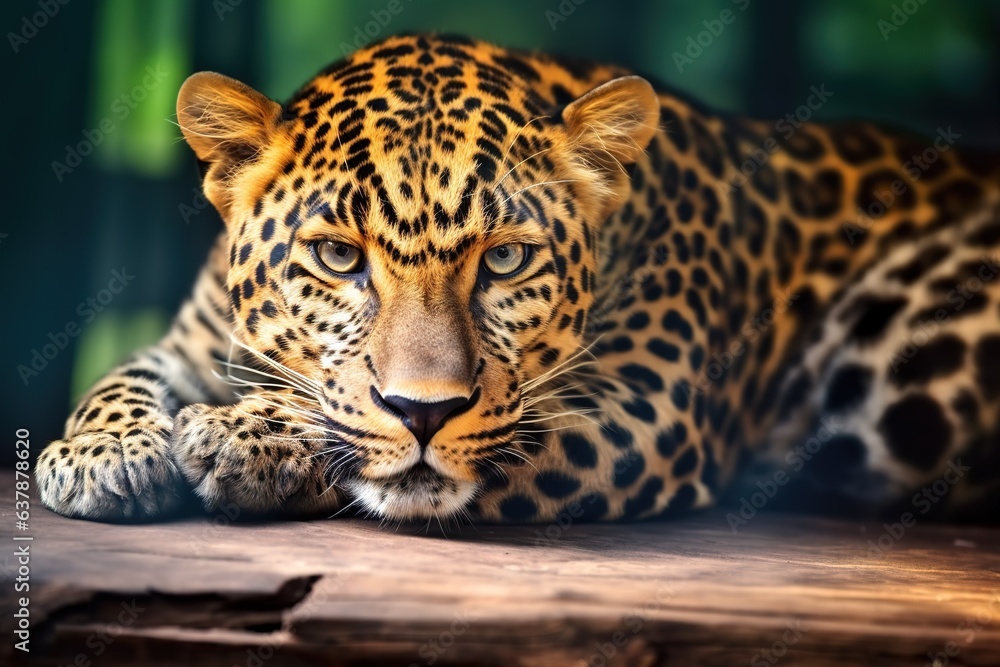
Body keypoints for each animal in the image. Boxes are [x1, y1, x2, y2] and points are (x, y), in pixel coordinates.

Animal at [36, 33, 1000, 525]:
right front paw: (103, 456)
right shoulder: (194, 340)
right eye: (339, 257)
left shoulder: (643, 406)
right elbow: (119, 376)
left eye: (504, 259)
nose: (422, 411)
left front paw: (253, 436)